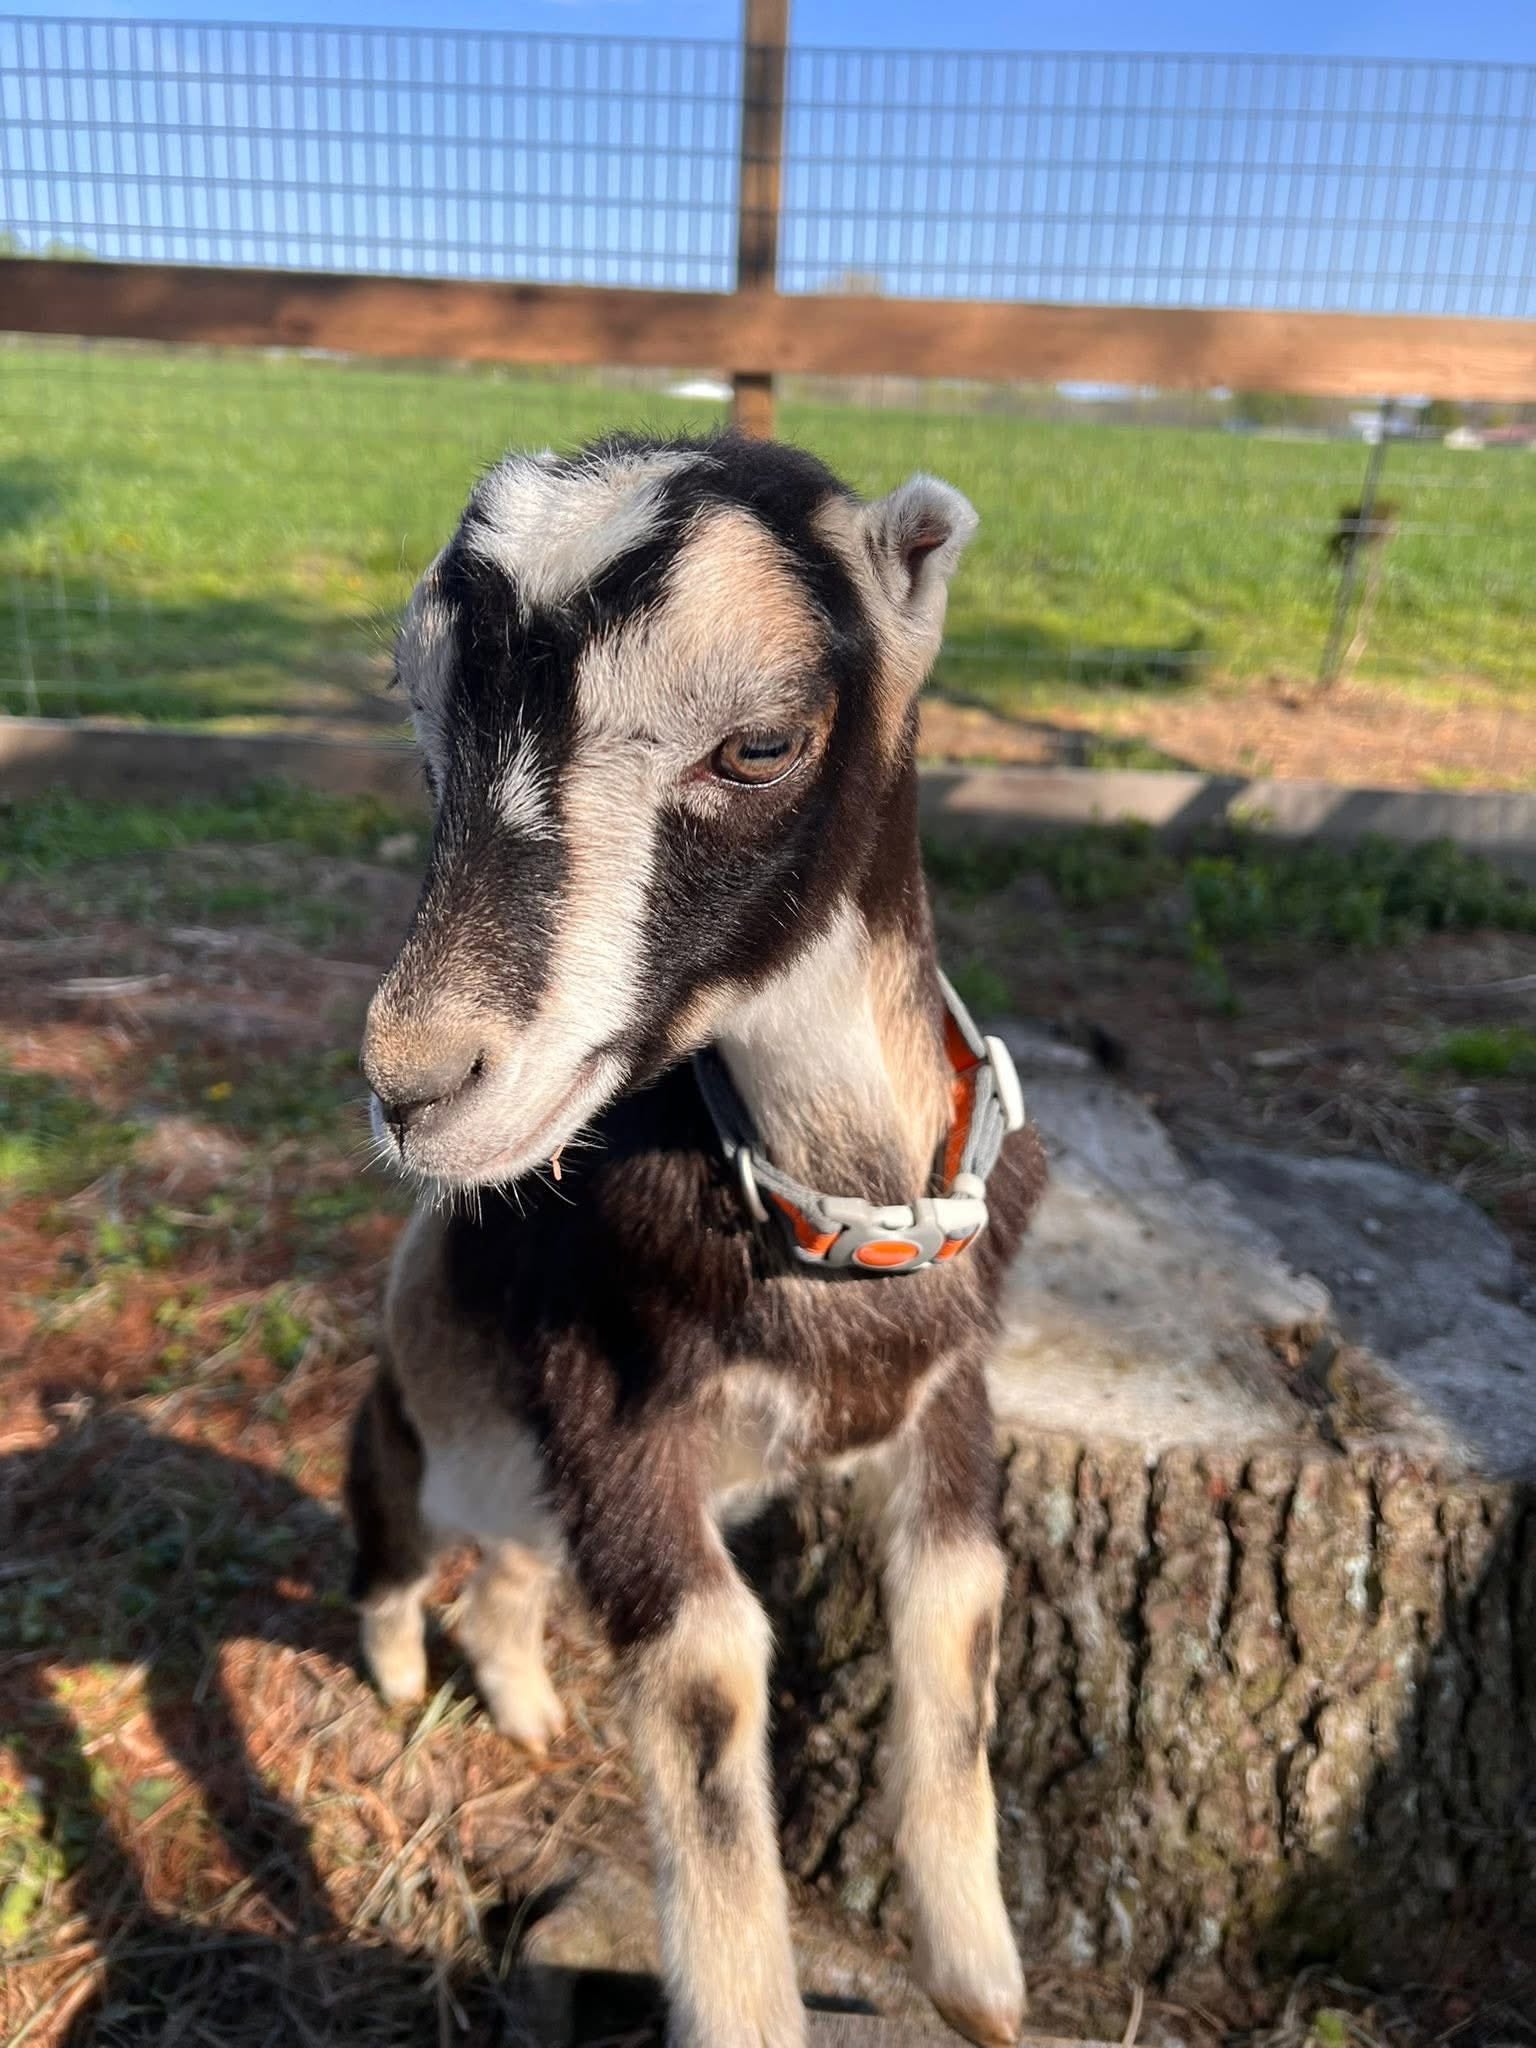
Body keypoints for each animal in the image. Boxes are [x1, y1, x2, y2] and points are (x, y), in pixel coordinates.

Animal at [349, 432, 1047, 2047]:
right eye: (424, 731)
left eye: (761, 743)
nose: (415, 1084)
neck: (834, 1218)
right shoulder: (615, 1413)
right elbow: (709, 1676)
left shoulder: (949, 1395)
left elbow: (959, 1613)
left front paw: (981, 1979)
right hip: (405, 1448)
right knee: (395, 1573)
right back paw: (406, 1680)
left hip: (528, 1502)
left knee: (511, 1586)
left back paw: (527, 1705)